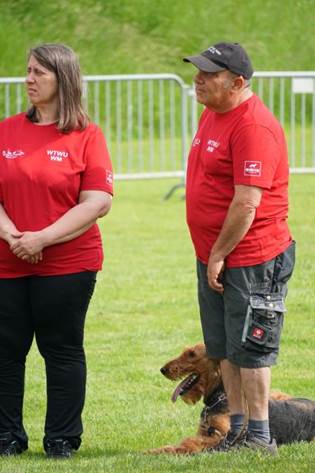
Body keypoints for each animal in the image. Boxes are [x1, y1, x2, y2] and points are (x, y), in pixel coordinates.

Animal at [150, 342, 315, 454]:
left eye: (192, 354)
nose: (163, 369)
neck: (218, 398)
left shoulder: (221, 436)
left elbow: (190, 443)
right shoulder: (204, 432)